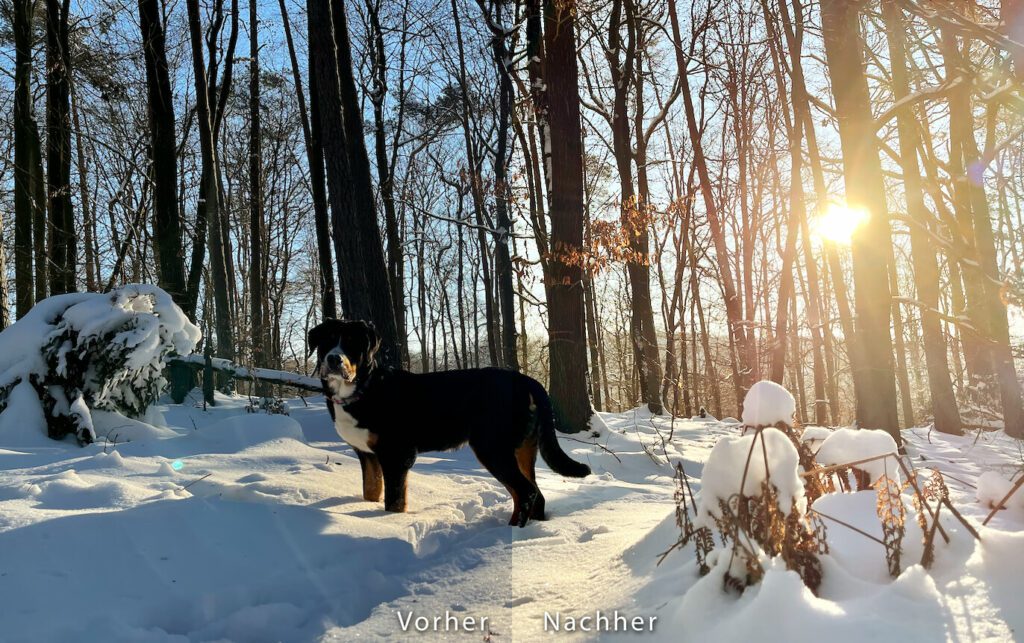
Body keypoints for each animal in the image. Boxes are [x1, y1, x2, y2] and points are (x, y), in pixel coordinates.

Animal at [305, 319, 593, 524]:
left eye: (352, 343)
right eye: (326, 341)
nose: (334, 359)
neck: (365, 389)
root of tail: (525, 380)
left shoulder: (396, 454)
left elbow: (394, 501)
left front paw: (389, 524)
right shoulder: (367, 454)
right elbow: (371, 490)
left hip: (492, 448)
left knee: (525, 492)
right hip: (521, 449)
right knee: (536, 494)